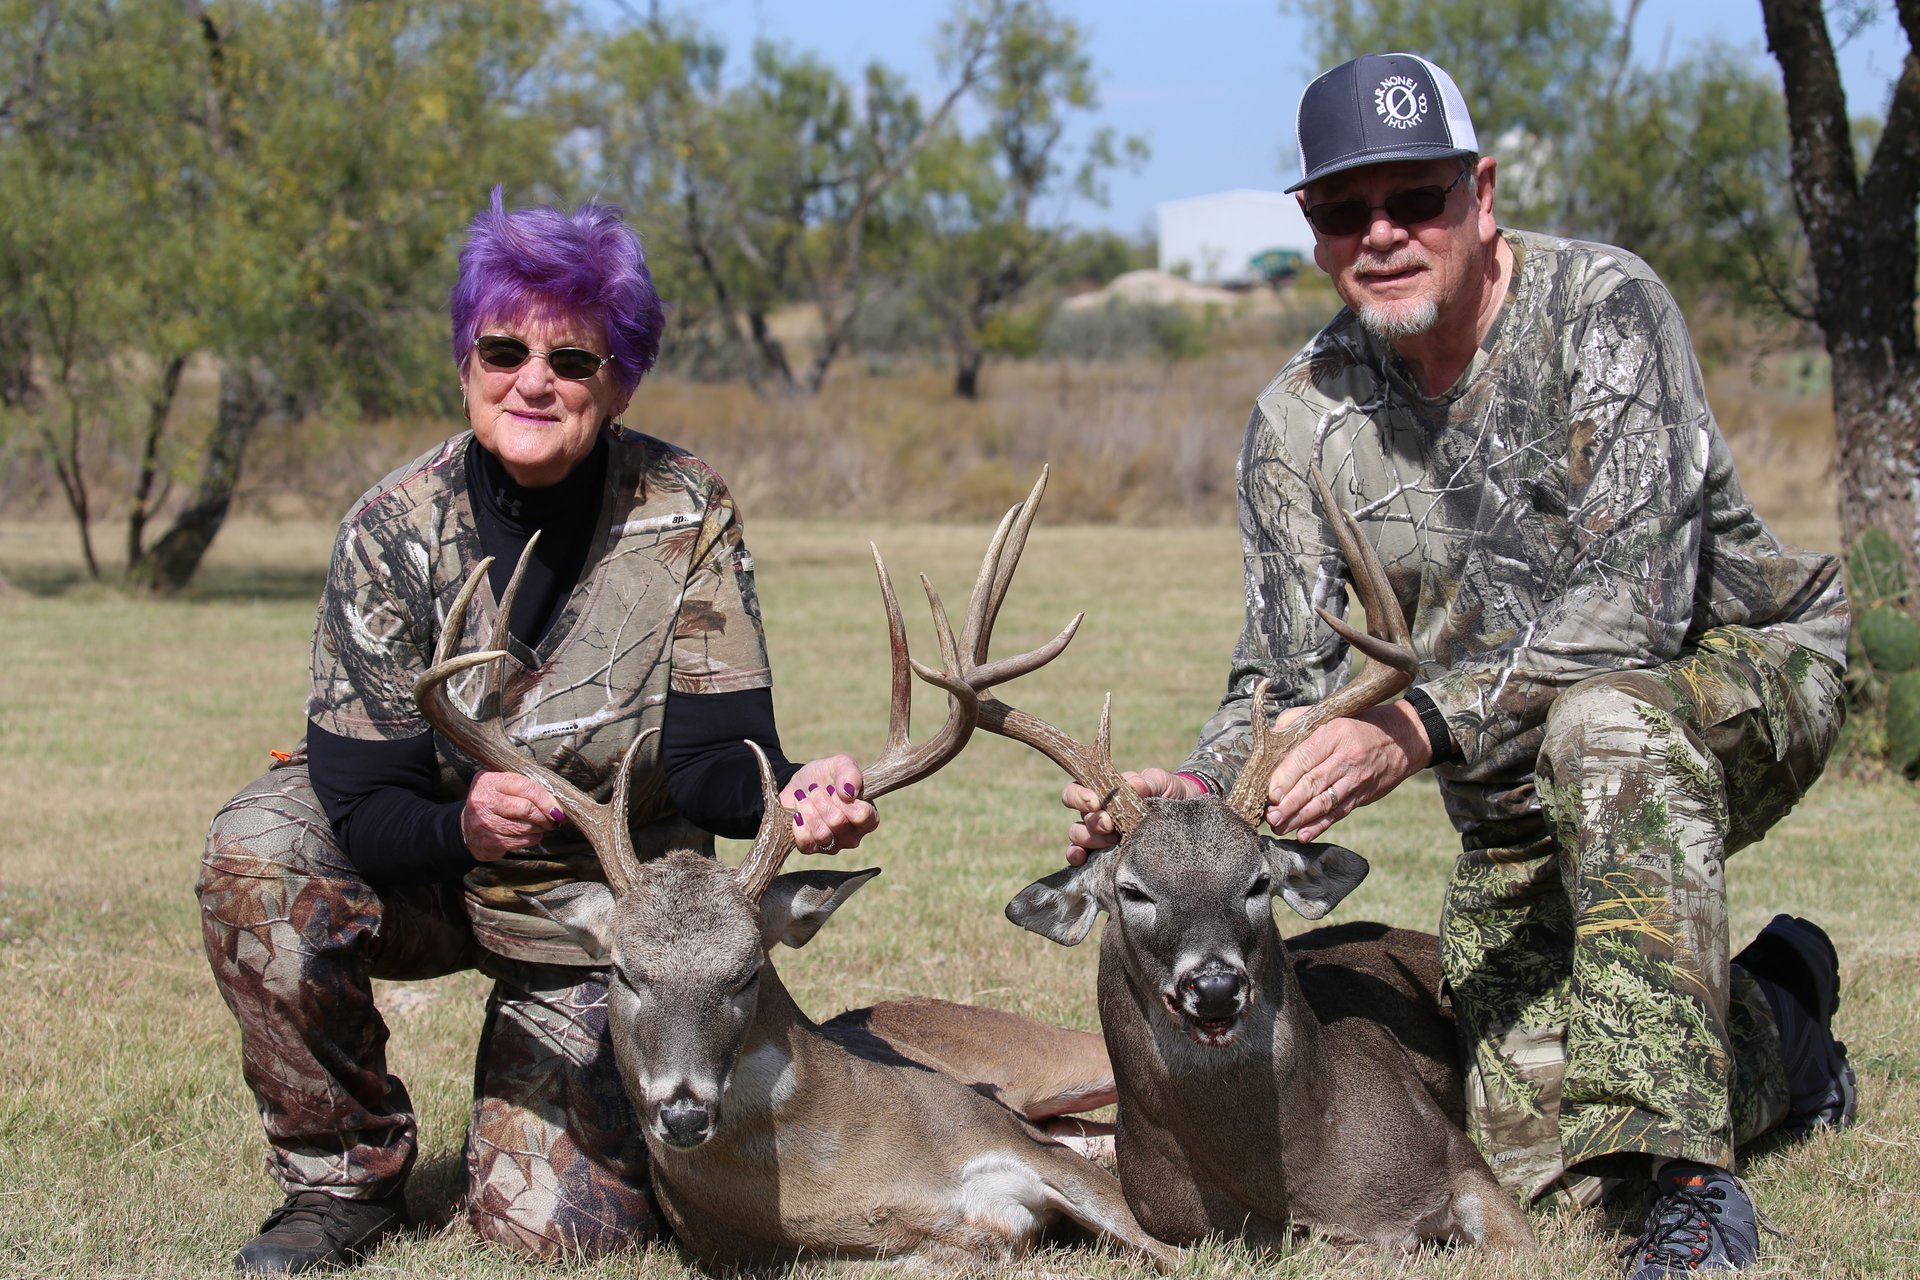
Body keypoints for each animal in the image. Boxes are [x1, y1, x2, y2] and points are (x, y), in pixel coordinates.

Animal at [413, 473, 1180, 1273]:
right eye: (623, 971)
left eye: (747, 969)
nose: (682, 1112)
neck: (843, 1177)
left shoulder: (1010, 1139)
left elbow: (1176, 1246)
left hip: (1050, 1055)